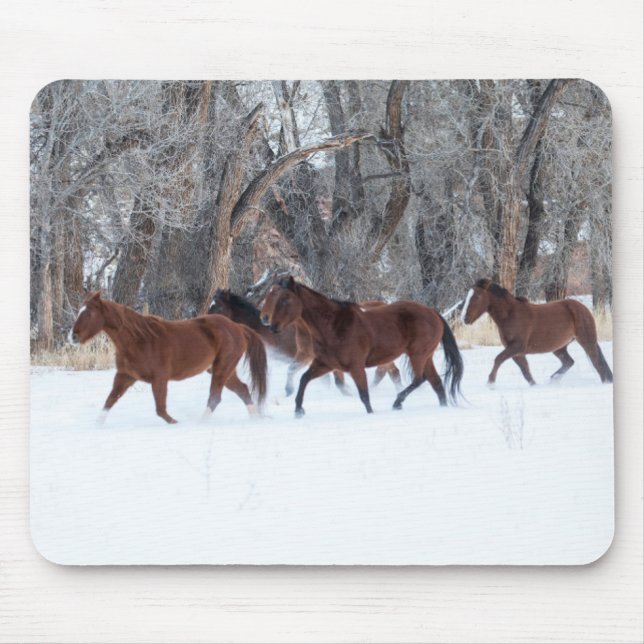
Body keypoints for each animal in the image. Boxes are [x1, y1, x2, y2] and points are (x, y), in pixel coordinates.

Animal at [68, 291, 267, 424]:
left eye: (88, 313)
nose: (72, 337)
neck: (138, 339)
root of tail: (238, 327)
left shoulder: (159, 379)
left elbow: (161, 410)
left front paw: (176, 423)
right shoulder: (125, 376)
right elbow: (109, 402)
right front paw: (97, 425)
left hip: (222, 368)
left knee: (215, 397)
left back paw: (201, 423)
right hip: (223, 370)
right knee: (243, 390)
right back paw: (255, 418)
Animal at [259, 276, 463, 417]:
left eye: (285, 299)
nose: (270, 324)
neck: (333, 326)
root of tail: (433, 313)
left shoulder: (356, 367)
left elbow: (364, 395)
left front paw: (371, 414)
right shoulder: (325, 364)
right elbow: (303, 379)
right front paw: (298, 410)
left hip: (418, 354)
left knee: (420, 379)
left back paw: (397, 403)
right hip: (425, 356)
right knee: (436, 383)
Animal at [460, 278, 613, 386]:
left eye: (476, 297)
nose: (464, 318)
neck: (510, 315)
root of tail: (583, 308)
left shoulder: (517, 347)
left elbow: (498, 359)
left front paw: (490, 383)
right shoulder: (517, 352)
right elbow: (526, 372)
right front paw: (535, 386)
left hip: (586, 341)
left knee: (597, 363)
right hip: (559, 347)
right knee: (569, 362)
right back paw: (553, 379)